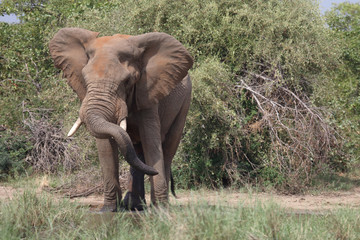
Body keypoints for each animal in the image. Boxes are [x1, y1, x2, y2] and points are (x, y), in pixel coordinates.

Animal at [49, 27, 193, 212]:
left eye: (127, 81)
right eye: (84, 79)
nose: (154, 172)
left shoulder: (148, 92)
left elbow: (151, 143)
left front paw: (160, 210)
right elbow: (106, 147)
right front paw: (108, 210)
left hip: (185, 103)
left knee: (167, 150)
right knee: (137, 153)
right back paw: (133, 205)